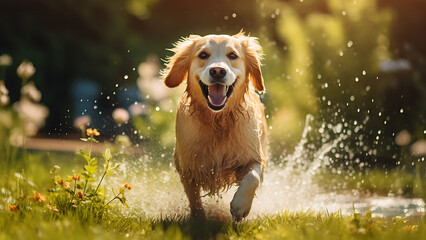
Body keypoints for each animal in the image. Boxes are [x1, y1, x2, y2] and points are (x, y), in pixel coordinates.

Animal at [162, 32, 266, 221]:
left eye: (233, 55)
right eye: (203, 55)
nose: (217, 71)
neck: (218, 120)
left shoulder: (253, 155)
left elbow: (253, 176)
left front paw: (241, 205)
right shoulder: (187, 166)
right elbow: (193, 197)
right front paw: (199, 218)